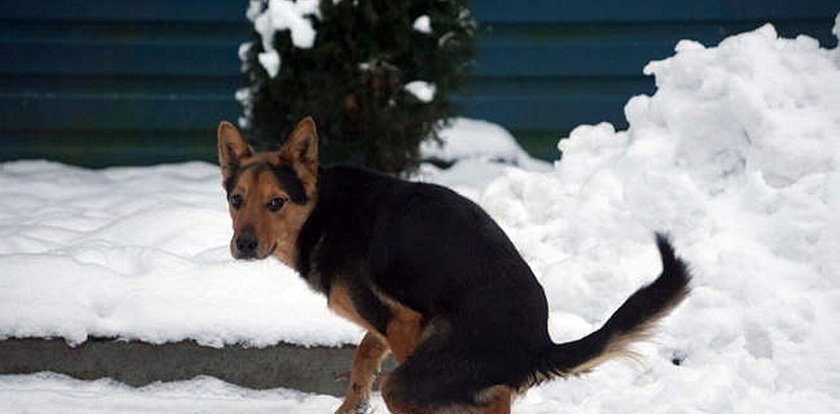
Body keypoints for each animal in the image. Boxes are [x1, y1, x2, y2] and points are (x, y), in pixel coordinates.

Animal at [220, 117, 692, 414]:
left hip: (413, 378)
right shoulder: (385, 322)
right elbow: (363, 359)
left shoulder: (404, 323)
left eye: (277, 202)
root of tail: (536, 345)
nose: (243, 244)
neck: (323, 209)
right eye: (236, 200)